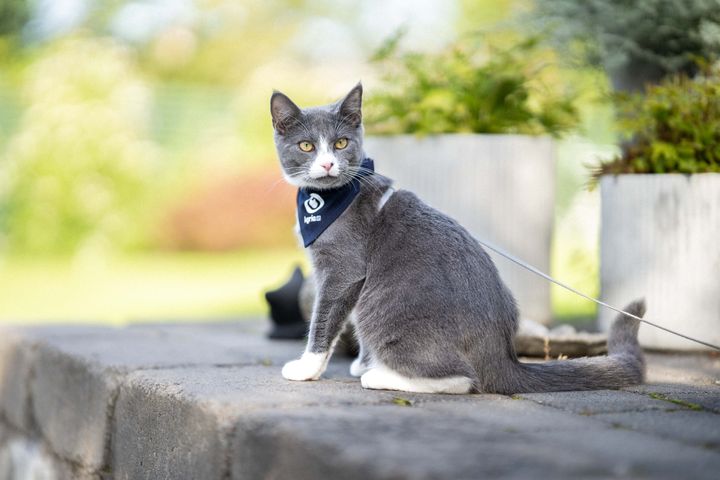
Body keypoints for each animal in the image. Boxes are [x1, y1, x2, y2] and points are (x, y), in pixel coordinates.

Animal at [272, 83, 648, 394]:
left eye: (340, 143)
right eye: (306, 146)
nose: (327, 164)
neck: (328, 200)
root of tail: (502, 355)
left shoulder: (343, 269)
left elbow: (324, 318)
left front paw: (307, 368)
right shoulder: (350, 278)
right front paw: (362, 361)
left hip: (382, 309)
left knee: (464, 378)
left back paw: (381, 377)